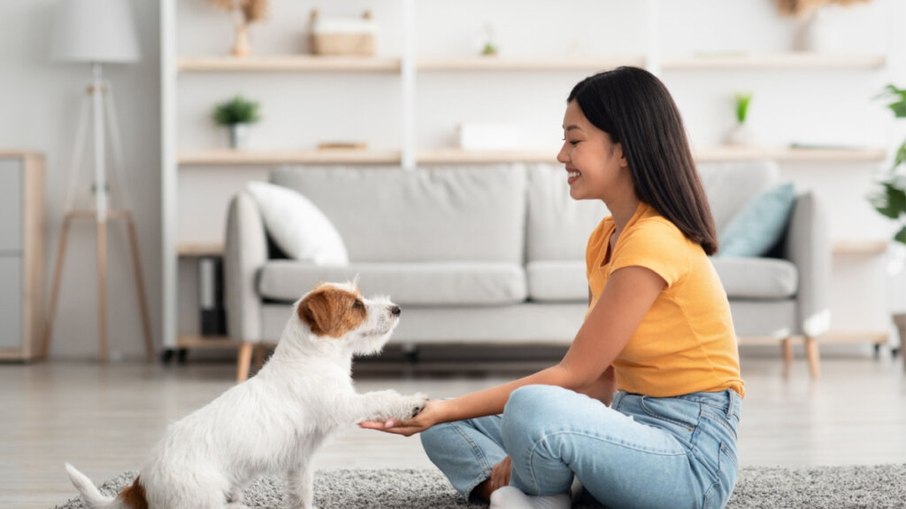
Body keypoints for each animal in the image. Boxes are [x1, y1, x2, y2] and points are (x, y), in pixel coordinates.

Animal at [67, 282, 428, 508]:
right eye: (356, 305)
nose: (397, 309)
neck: (312, 356)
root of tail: (141, 482)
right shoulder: (342, 404)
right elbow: (378, 397)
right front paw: (410, 403)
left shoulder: (299, 462)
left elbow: (301, 493)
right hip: (202, 499)